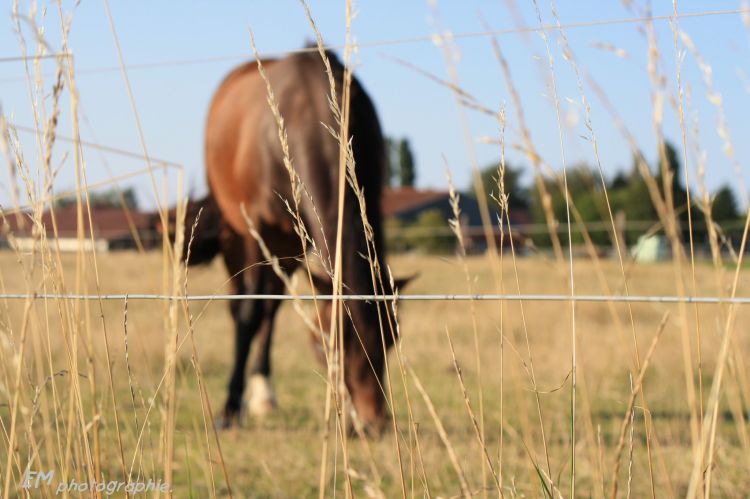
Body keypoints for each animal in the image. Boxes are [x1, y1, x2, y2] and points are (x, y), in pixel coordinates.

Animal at [188, 51, 412, 434]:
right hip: (240, 236)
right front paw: (230, 408)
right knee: (244, 304)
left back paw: (263, 393)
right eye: (326, 345)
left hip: (288, 245)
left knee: (271, 306)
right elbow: (248, 313)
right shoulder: (256, 228)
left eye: (391, 338)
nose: (371, 423)